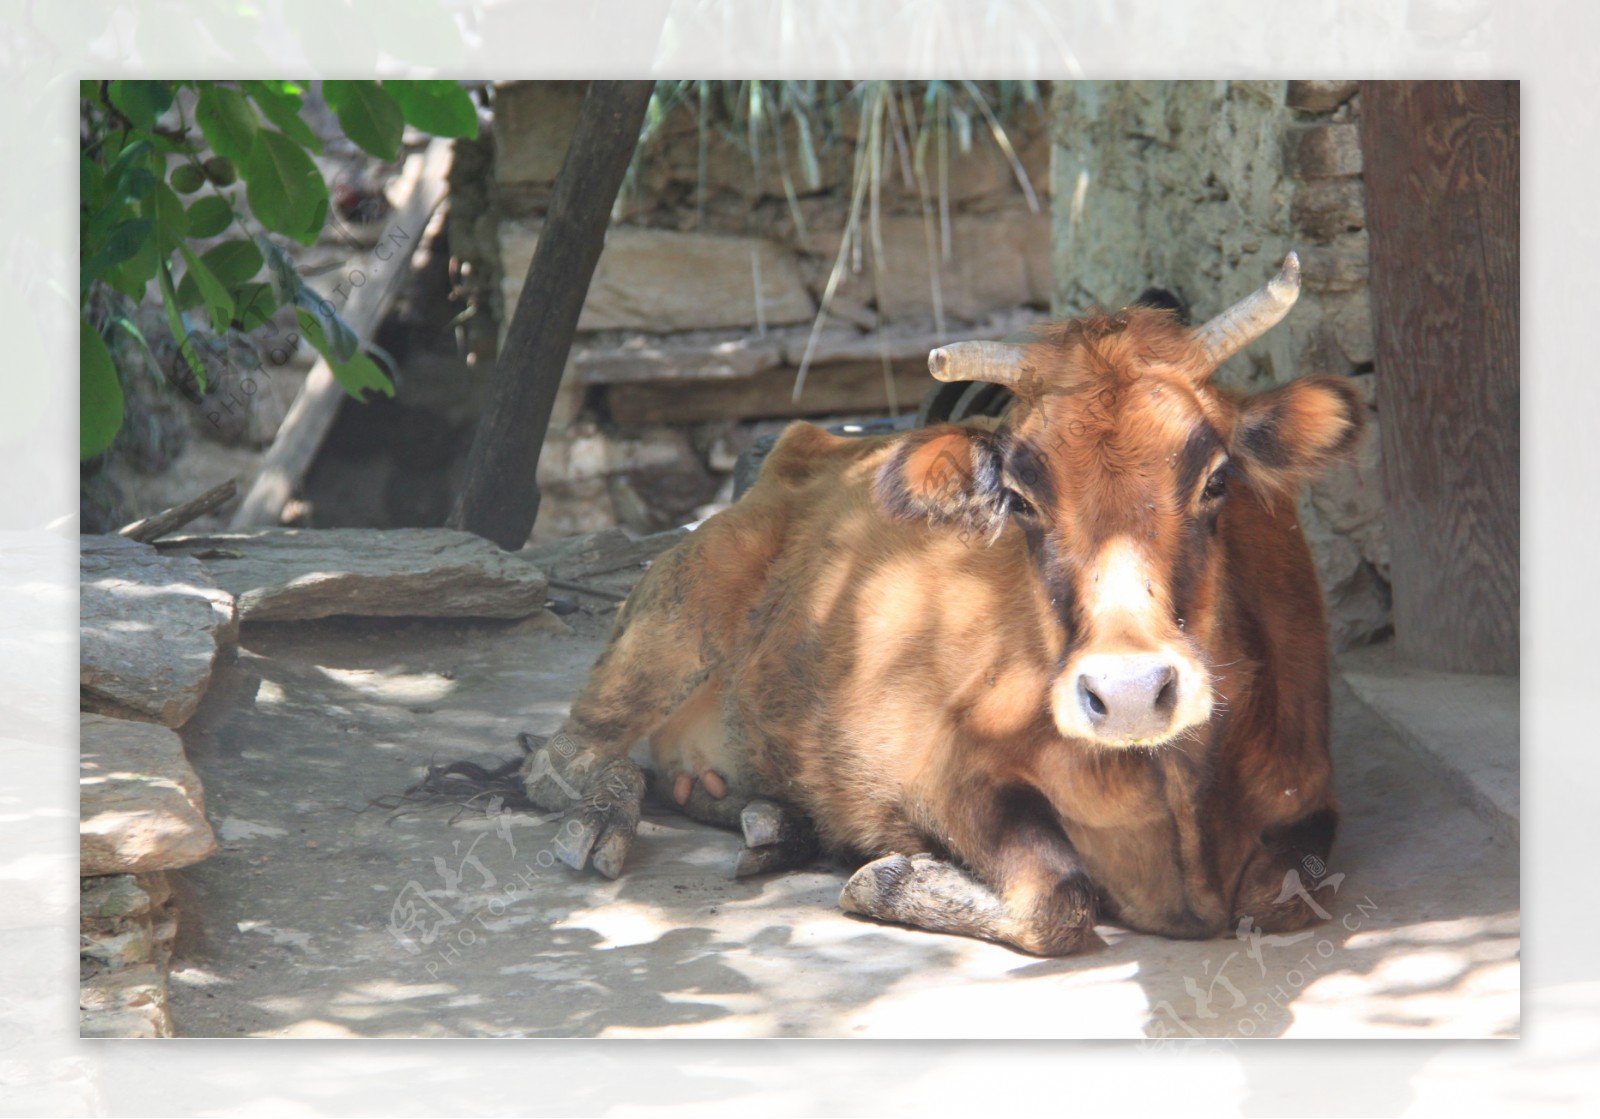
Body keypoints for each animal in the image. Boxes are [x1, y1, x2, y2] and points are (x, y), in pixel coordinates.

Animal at [521, 254, 1363, 954]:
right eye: (1021, 499)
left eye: (1218, 478)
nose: (1128, 692)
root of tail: (812, 441)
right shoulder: (948, 768)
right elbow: (1058, 895)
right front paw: (889, 875)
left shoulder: (1310, 794)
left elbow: (1286, 893)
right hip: (679, 603)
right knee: (561, 757)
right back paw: (601, 818)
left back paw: (773, 824)